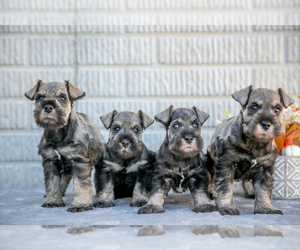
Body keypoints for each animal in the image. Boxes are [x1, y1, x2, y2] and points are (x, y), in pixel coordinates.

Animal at [25, 80, 106, 213]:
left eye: (62, 98)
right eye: (40, 97)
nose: (48, 107)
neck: (57, 134)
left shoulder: (79, 161)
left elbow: (80, 185)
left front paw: (80, 204)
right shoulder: (50, 161)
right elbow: (52, 183)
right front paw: (53, 201)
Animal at [207, 85, 294, 215]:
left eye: (277, 109)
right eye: (254, 107)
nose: (266, 124)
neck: (254, 143)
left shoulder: (264, 169)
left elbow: (263, 190)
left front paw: (265, 208)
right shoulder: (226, 164)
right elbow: (224, 187)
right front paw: (227, 207)